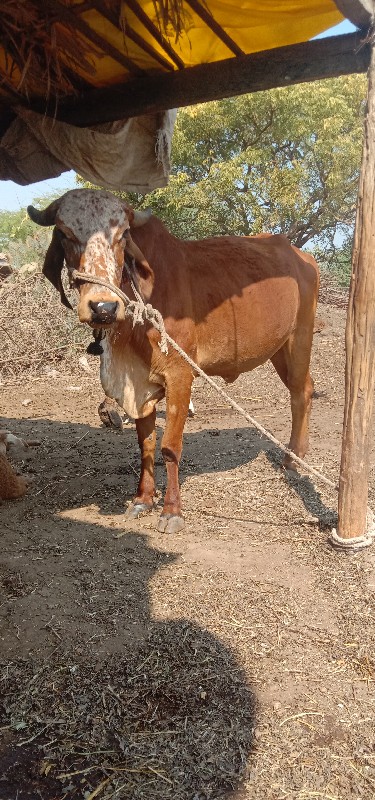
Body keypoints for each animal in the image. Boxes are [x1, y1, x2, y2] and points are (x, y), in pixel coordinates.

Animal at [28, 191, 320, 536]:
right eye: (64, 233)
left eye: (122, 236)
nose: (103, 307)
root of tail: (300, 254)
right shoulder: (138, 385)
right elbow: (146, 445)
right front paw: (142, 500)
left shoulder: (180, 375)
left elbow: (169, 447)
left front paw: (171, 511)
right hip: (279, 348)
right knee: (303, 389)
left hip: (299, 339)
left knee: (301, 392)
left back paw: (293, 459)